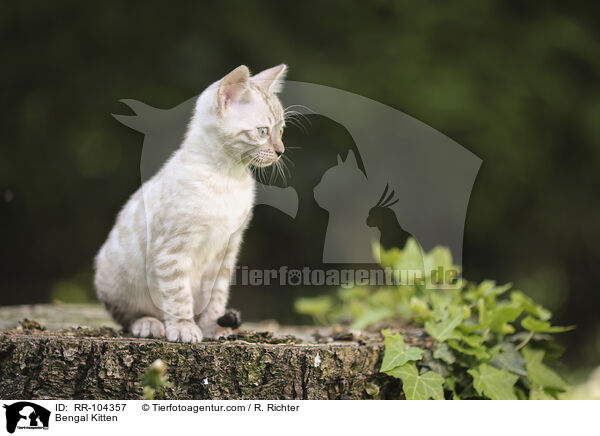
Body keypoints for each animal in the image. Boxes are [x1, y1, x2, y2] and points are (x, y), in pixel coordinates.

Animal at [95, 64, 288, 344]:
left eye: (281, 131)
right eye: (263, 131)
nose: (281, 150)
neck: (228, 178)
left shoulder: (226, 250)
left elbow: (215, 296)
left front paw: (212, 327)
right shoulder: (172, 250)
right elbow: (178, 295)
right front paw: (184, 327)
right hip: (113, 276)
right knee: (128, 316)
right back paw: (149, 323)